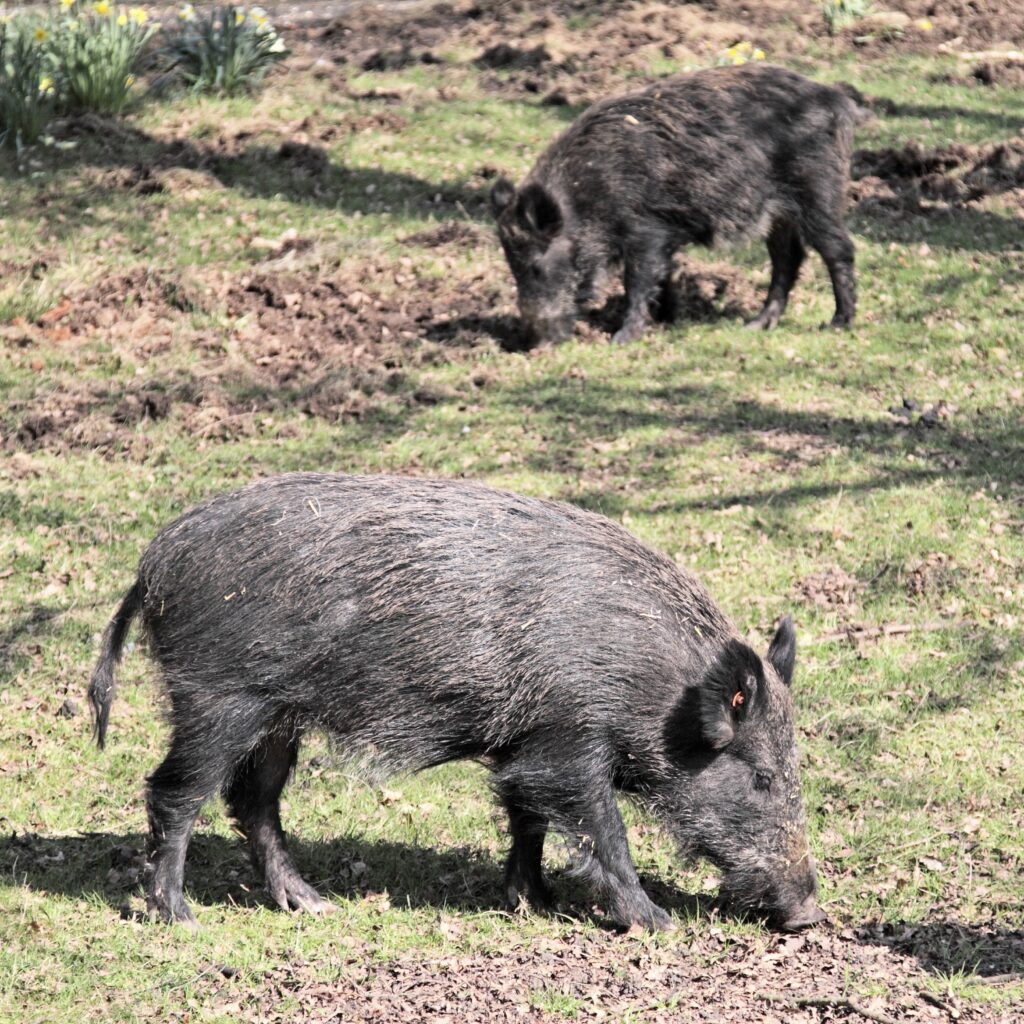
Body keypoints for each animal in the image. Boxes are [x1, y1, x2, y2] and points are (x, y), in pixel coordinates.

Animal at [88, 473, 825, 932]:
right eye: (762, 777)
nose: (810, 914)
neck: (651, 685)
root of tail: (152, 564)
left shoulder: (527, 746)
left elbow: (526, 818)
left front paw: (532, 903)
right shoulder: (569, 740)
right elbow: (602, 830)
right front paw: (656, 923)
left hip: (277, 718)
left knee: (253, 802)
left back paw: (314, 905)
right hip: (219, 699)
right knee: (175, 793)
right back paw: (180, 917)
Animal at [491, 63, 858, 346]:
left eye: (536, 266)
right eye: (511, 265)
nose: (535, 344)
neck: (587, 198)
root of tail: (831, 98)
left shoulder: (645, 230)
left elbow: (638, 281)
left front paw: (621, 339)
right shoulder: (663, 234)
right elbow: (663, 275)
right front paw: (668, 319)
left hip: (817, 191)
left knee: (838, 250)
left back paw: (838, 323)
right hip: (779, 215)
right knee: (788, 259)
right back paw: (755, 325)